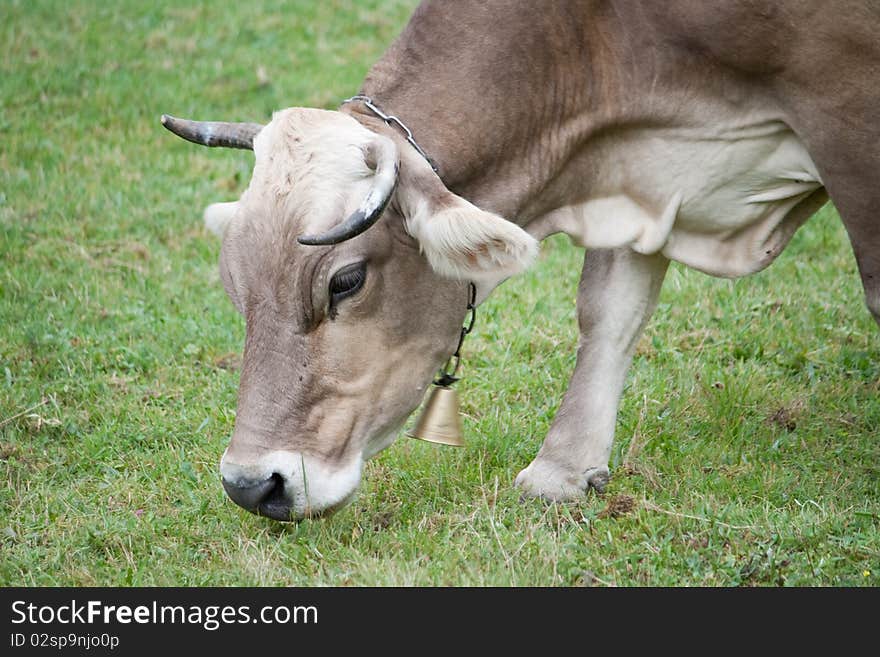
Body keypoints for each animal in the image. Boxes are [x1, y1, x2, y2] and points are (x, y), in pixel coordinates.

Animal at [162, 1, 876, 524]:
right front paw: (563, 471)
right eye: (235, 287)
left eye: (347, 281)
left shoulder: (845, 110)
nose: (250, 485)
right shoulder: (632, 176)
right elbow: (609, 310)